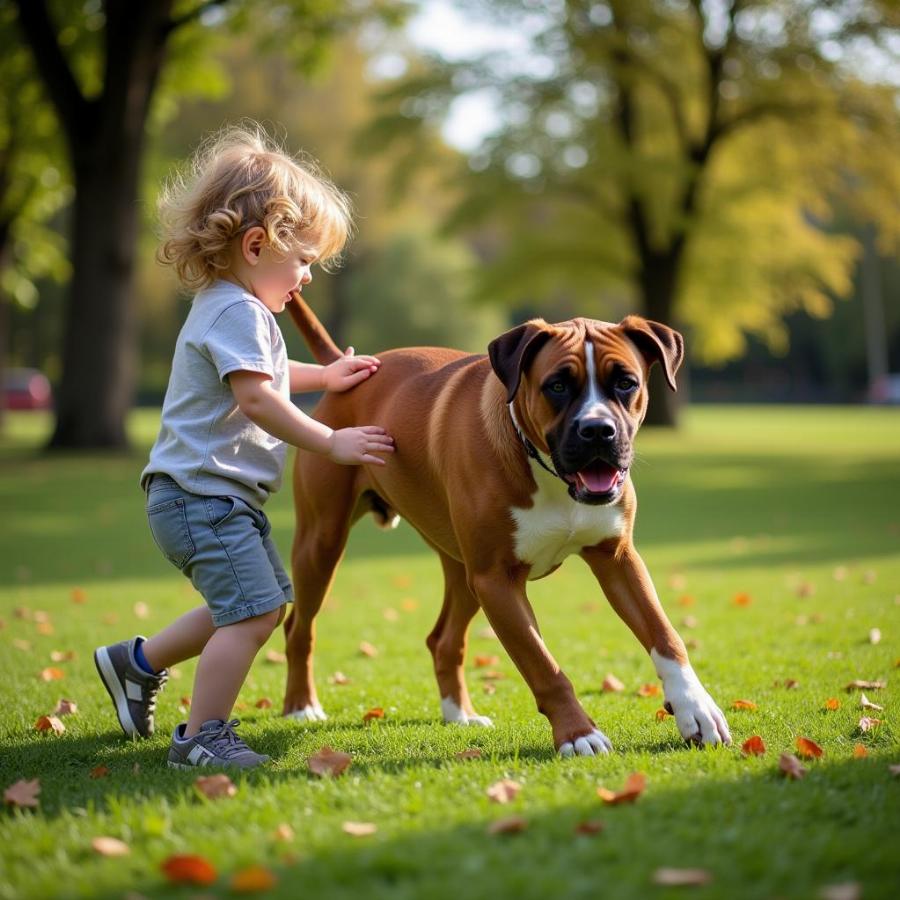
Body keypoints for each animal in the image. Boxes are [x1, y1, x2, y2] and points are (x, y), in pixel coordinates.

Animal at [284, 298, 732, 756]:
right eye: (557, 386)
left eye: (626, 383)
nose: (597, 430)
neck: (548, 473)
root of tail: (347, 367)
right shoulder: (497, 580)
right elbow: (543, 666)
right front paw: (579, 734)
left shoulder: (618, 558)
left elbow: (666, 635)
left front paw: (696, 707)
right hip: (323, 543)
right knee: (299, 627)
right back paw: (303, 706)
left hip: (462, 572)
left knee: (444, 639)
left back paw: (459, 714)